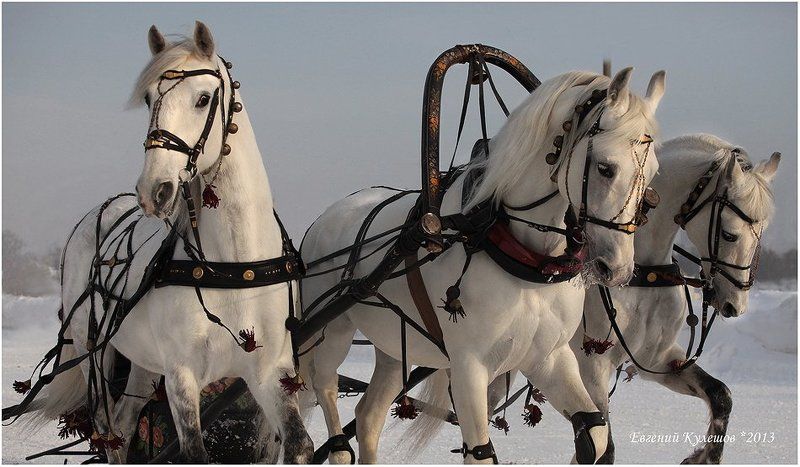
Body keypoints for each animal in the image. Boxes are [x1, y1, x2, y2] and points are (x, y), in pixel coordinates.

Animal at [14, 22, 313, 463]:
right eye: (149, 98)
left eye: (203, 99)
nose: (153, 190)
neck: (231, 264)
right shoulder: (181, 375)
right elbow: (193, 451)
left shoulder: (269, 372)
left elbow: (298, 443)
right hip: (95, 355)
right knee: (109, 432)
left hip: (142, 364)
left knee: (123, 423)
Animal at [298, 67, 666, 463]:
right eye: (605, 168)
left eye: (653, 173)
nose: (618, 269)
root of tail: (322, 220)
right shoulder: (468, 364)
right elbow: (480, 451)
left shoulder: (549, 357)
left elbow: (594, 433)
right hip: (333, 329)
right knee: (325, 387)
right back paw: (335, 442)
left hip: (395, 345)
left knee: (368, 416)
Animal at [571, 133, 780, 463]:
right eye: (729, 235)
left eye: (760, 235)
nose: (735, 304)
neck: (641, 273)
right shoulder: (592, 366)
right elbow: (602, 447)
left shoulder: (657, 359)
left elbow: (720, 395)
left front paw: (703, 455)